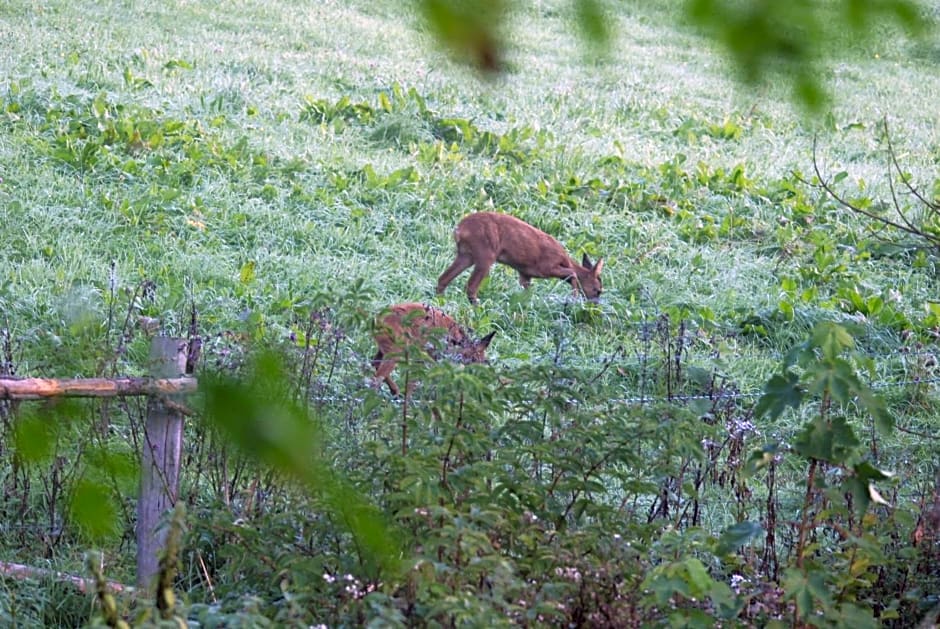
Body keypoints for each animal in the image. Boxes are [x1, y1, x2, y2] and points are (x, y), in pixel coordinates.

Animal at [436, 212, 604, 306]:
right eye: (598, 291)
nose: (595, 305)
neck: (565, 259)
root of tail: (459, 230)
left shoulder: (525, 273)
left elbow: (527, 291)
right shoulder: (547, 267)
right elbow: (572, 273)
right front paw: (573, 298)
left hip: (466, 254)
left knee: (443, 278)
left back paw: (440, 301)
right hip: (485, 253)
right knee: (470, 286)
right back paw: (477, 306)